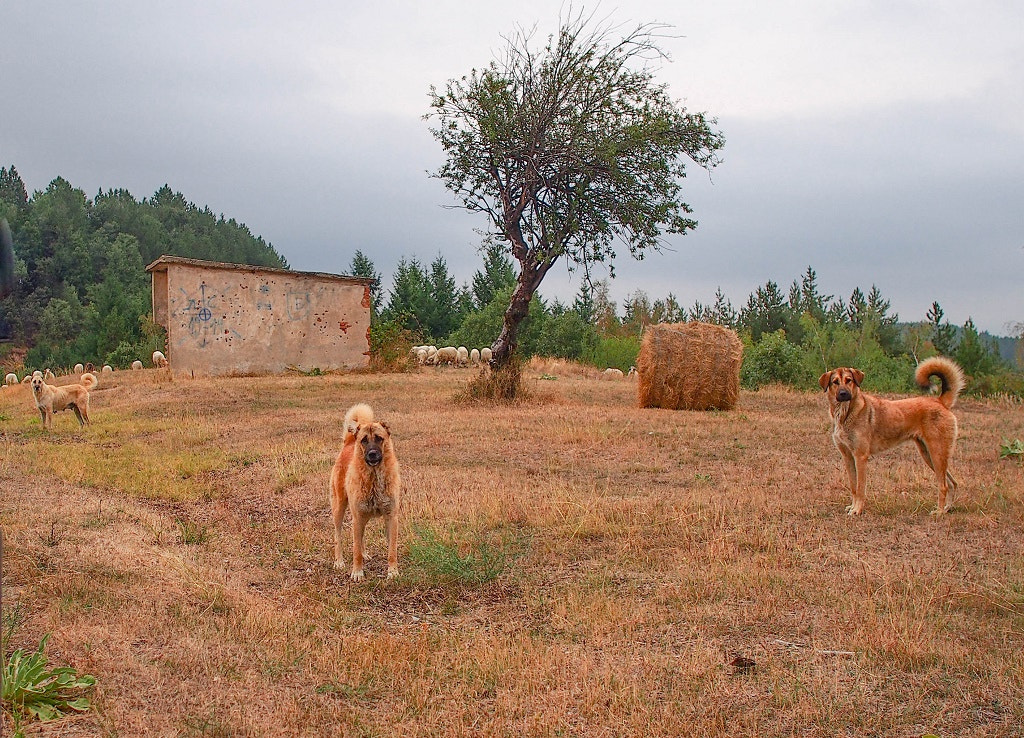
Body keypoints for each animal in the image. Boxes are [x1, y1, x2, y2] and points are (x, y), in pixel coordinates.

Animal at [331, 403, 403, 581]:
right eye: (364, 440)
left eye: (379, 438)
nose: (372, 454)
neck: (374, 479)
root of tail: (349, 442)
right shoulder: (357, 517)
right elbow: (355, 550)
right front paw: (357, 572)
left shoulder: (391, 518)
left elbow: (392, 550)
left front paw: (393, 572)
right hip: (340, 509)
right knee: (338, 536)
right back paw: (339, 561)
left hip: (363, 516)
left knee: (361, 537)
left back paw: (364, 554)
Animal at [819, 356, 962, 511]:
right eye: (835, 382)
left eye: (849, 380)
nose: (843, 394)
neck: (845, 414)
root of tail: (940, 401)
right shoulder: (848, 457)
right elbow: (853, 487)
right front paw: (852, 507)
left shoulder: (860, 457)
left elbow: (860, 487)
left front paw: (857, 510)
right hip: (929, 455)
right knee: (952, 483)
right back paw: (947, 508)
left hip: (936, 453)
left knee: (944, 485)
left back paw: (939, 511)